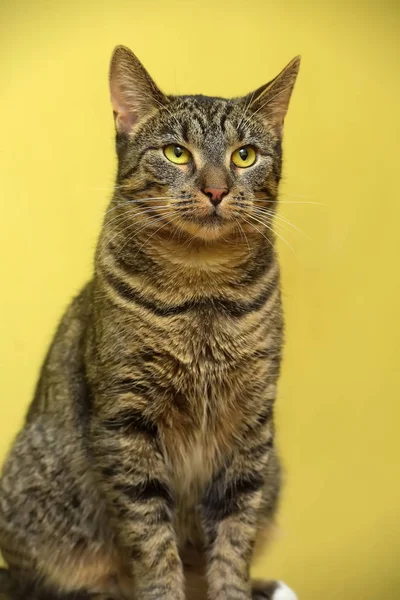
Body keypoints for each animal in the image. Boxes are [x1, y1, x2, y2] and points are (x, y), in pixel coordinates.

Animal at [0, 44, 300, 596]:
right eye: (176, 153)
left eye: (244, 155)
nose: (216, 190)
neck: (202, 291)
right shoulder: (127, 423)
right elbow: (153, 543)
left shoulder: (249, 427)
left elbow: (233, 540)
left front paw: (232, 588)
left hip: (274, 471)